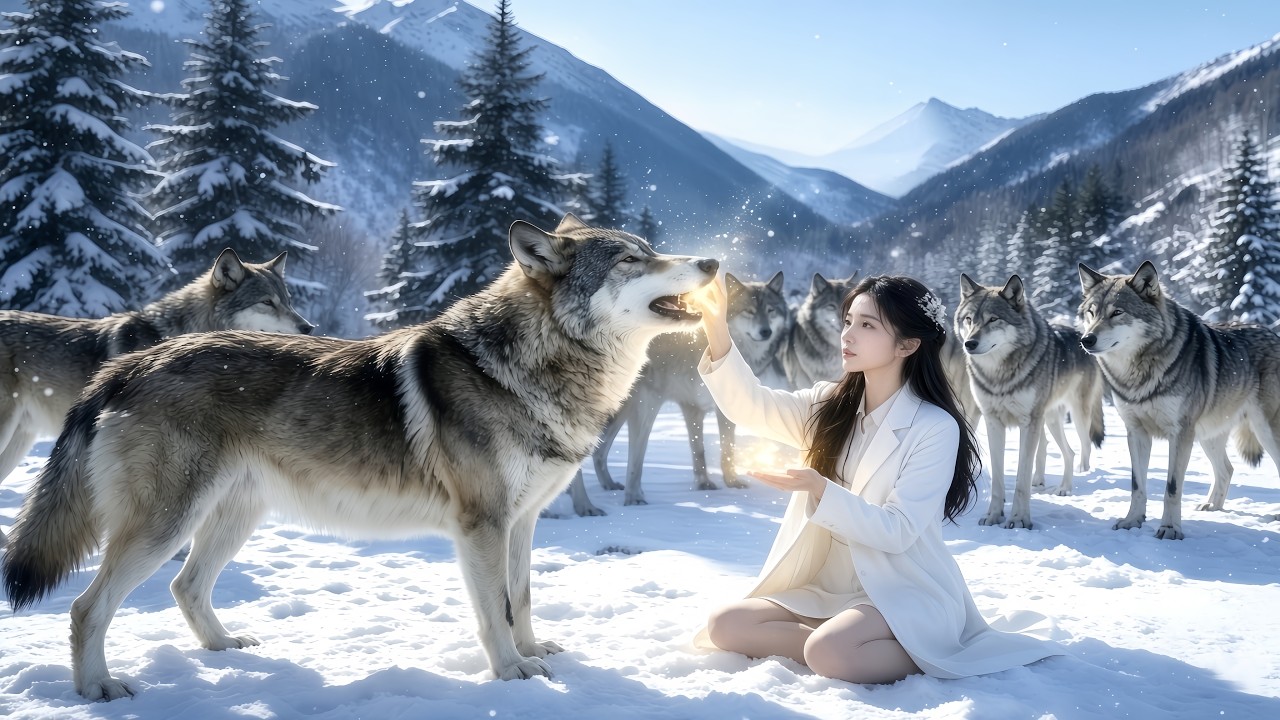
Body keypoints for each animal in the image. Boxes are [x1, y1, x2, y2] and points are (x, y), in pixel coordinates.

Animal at [573, 271, 787, 510]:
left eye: (770, 310)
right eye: (748, 311)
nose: (766, 332)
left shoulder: (717, 409)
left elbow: (722, 449)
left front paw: (726, 482)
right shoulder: (693, 406)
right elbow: (705, 450)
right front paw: (709, 483)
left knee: (599, 452)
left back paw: (607, 486)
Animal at [956, 274, 1105, 529]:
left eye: (993, 319)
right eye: (969, 319)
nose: (969, 344)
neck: (999, 376)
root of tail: (1081, 335)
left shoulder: (1028, 422)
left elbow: (1021, 479)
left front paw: (1018, 520)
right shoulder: (992, 421)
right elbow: (998, 477)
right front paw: (993, 515)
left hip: (1075, 415)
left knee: (1079, 448)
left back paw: (1067, 486)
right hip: (1049, 420)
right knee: (1061, 450)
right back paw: (1045, 483)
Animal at [1078, 261, 1280, 539]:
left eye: (1117, 312)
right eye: (1091, 313)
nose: (1086, 339)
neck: (1139, 374)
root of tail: (1273, 333)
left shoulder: (1180, 433)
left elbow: (1172, 487)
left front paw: (1170, 529)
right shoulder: (1136, 432)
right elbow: (1137, 485)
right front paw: (1132, 521)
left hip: (1264, 431)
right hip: (1207, 435)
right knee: (1227, 469)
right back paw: (1211, 506)